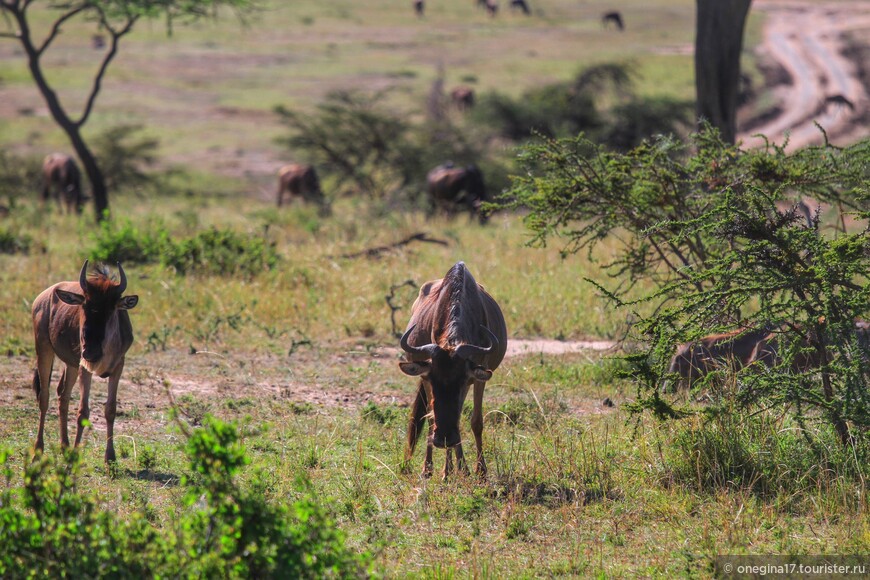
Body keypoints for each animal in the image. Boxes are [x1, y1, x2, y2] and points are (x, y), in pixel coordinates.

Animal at [32, 262, 139, 462]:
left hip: (71, 364)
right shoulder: (85, 367)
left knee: (63, 395)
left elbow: (110, 409)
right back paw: (38, 450)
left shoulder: (118, 367)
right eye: (85, 306)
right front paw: (76, 453)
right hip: (44, 350)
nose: (90, 352)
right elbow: (83, 412)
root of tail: (41, 298)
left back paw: (64, 446)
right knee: (44, 397)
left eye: (111, 309)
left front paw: (110, 457)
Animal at [398, 262, 508, 476]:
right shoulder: (426, 380)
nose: (444, 438)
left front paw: (478, 470)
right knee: (430, 418)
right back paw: (434, 469)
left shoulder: (478, 378)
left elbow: (475, 421)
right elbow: (433, 416)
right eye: (433, 379)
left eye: (462, 380)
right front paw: (444, 470)